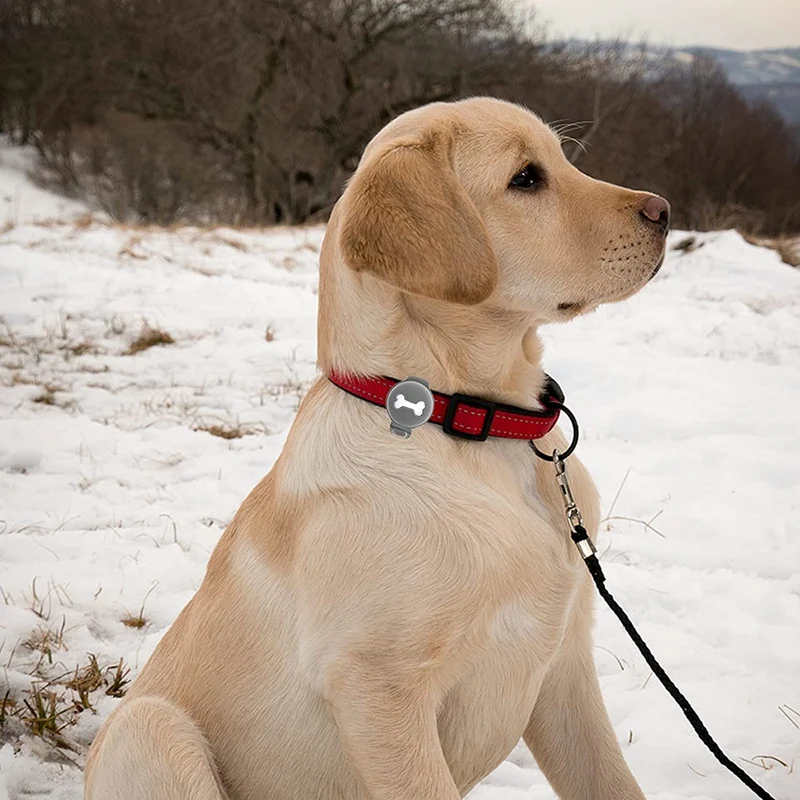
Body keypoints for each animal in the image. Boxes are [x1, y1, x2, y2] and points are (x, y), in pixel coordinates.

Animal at [86, 98, 668, 800]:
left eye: (561, 160)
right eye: (526, 179)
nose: (665, 211)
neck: (469, 423)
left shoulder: (564, 666)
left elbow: (613, 780)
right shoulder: (379, 688)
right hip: (152, 728)